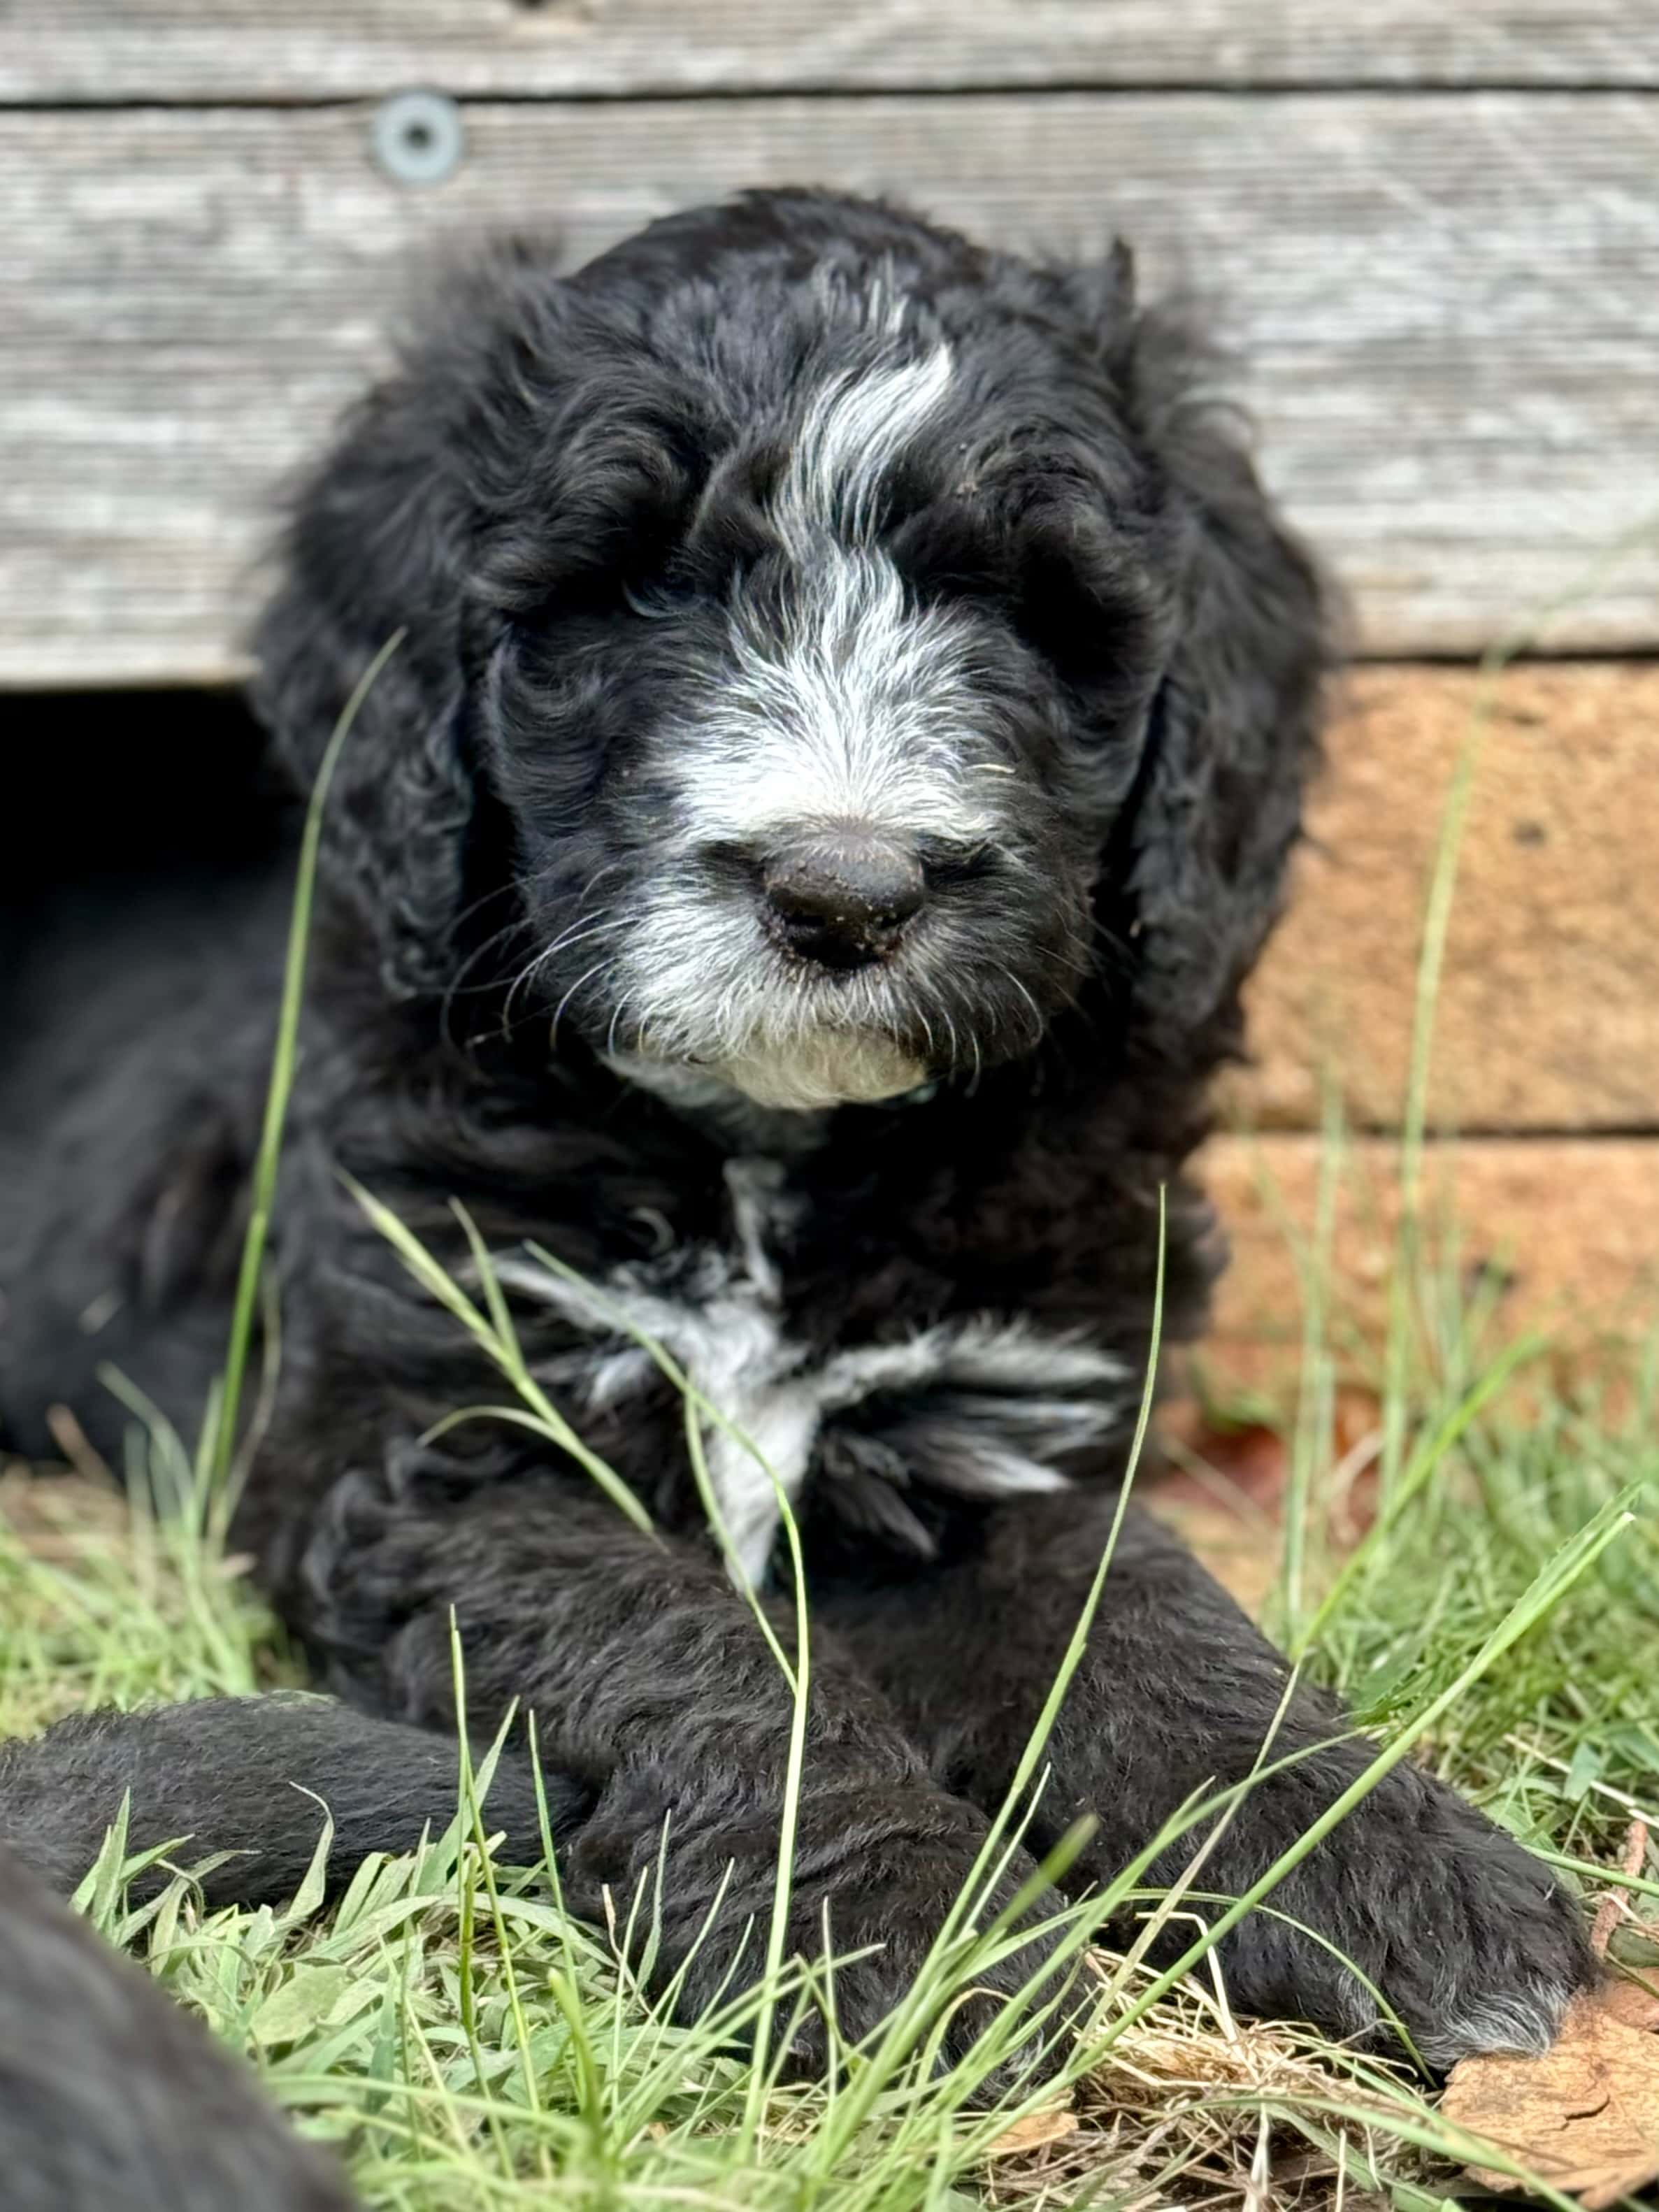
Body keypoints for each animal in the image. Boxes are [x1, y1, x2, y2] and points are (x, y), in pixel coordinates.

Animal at [0, 194, 1593, 2088]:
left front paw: (1380, 1855)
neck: (769, 1151)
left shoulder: (994, 1426)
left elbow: (1141, 1615)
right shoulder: (436, 1444)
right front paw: (897, 1918)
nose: (845, 887)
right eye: (637, 592)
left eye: (1025, 610)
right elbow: (685, 1640)